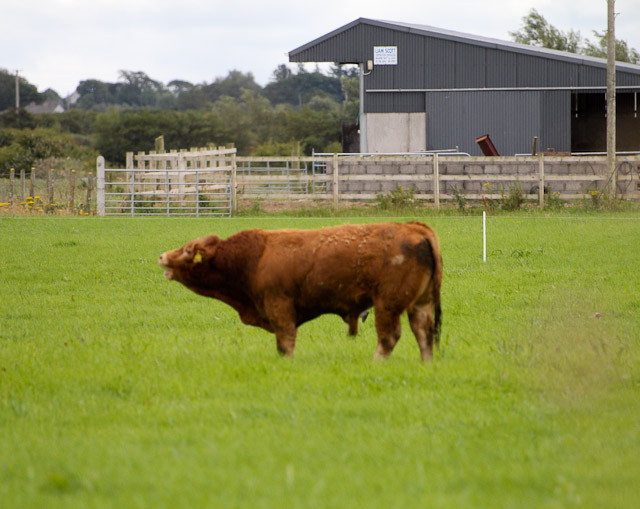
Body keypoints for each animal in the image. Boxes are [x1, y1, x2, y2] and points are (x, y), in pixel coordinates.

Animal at [158, 222, 442, 362]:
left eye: (187, 251)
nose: (162, 256)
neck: (252, 258)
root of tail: (415, 228)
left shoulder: (279, 307)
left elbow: (285, 343)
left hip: (387, 304)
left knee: (389, 337)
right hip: (420, 304)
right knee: (424, 334)